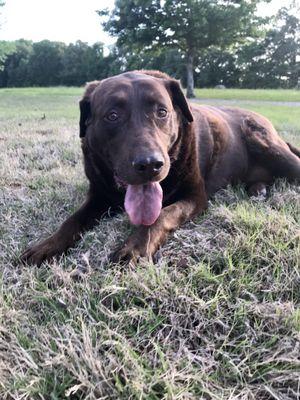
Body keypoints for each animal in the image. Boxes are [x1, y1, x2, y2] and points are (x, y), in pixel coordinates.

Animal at [21, 70, 300, 266]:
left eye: (162, 112)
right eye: (112, 116)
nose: (150, 164)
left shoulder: (194, 197)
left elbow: (162, 215)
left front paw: (135, 247)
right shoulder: (98, 195)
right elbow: (72, 220)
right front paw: (47, 245)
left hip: (269, 146)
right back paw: (258, 190)